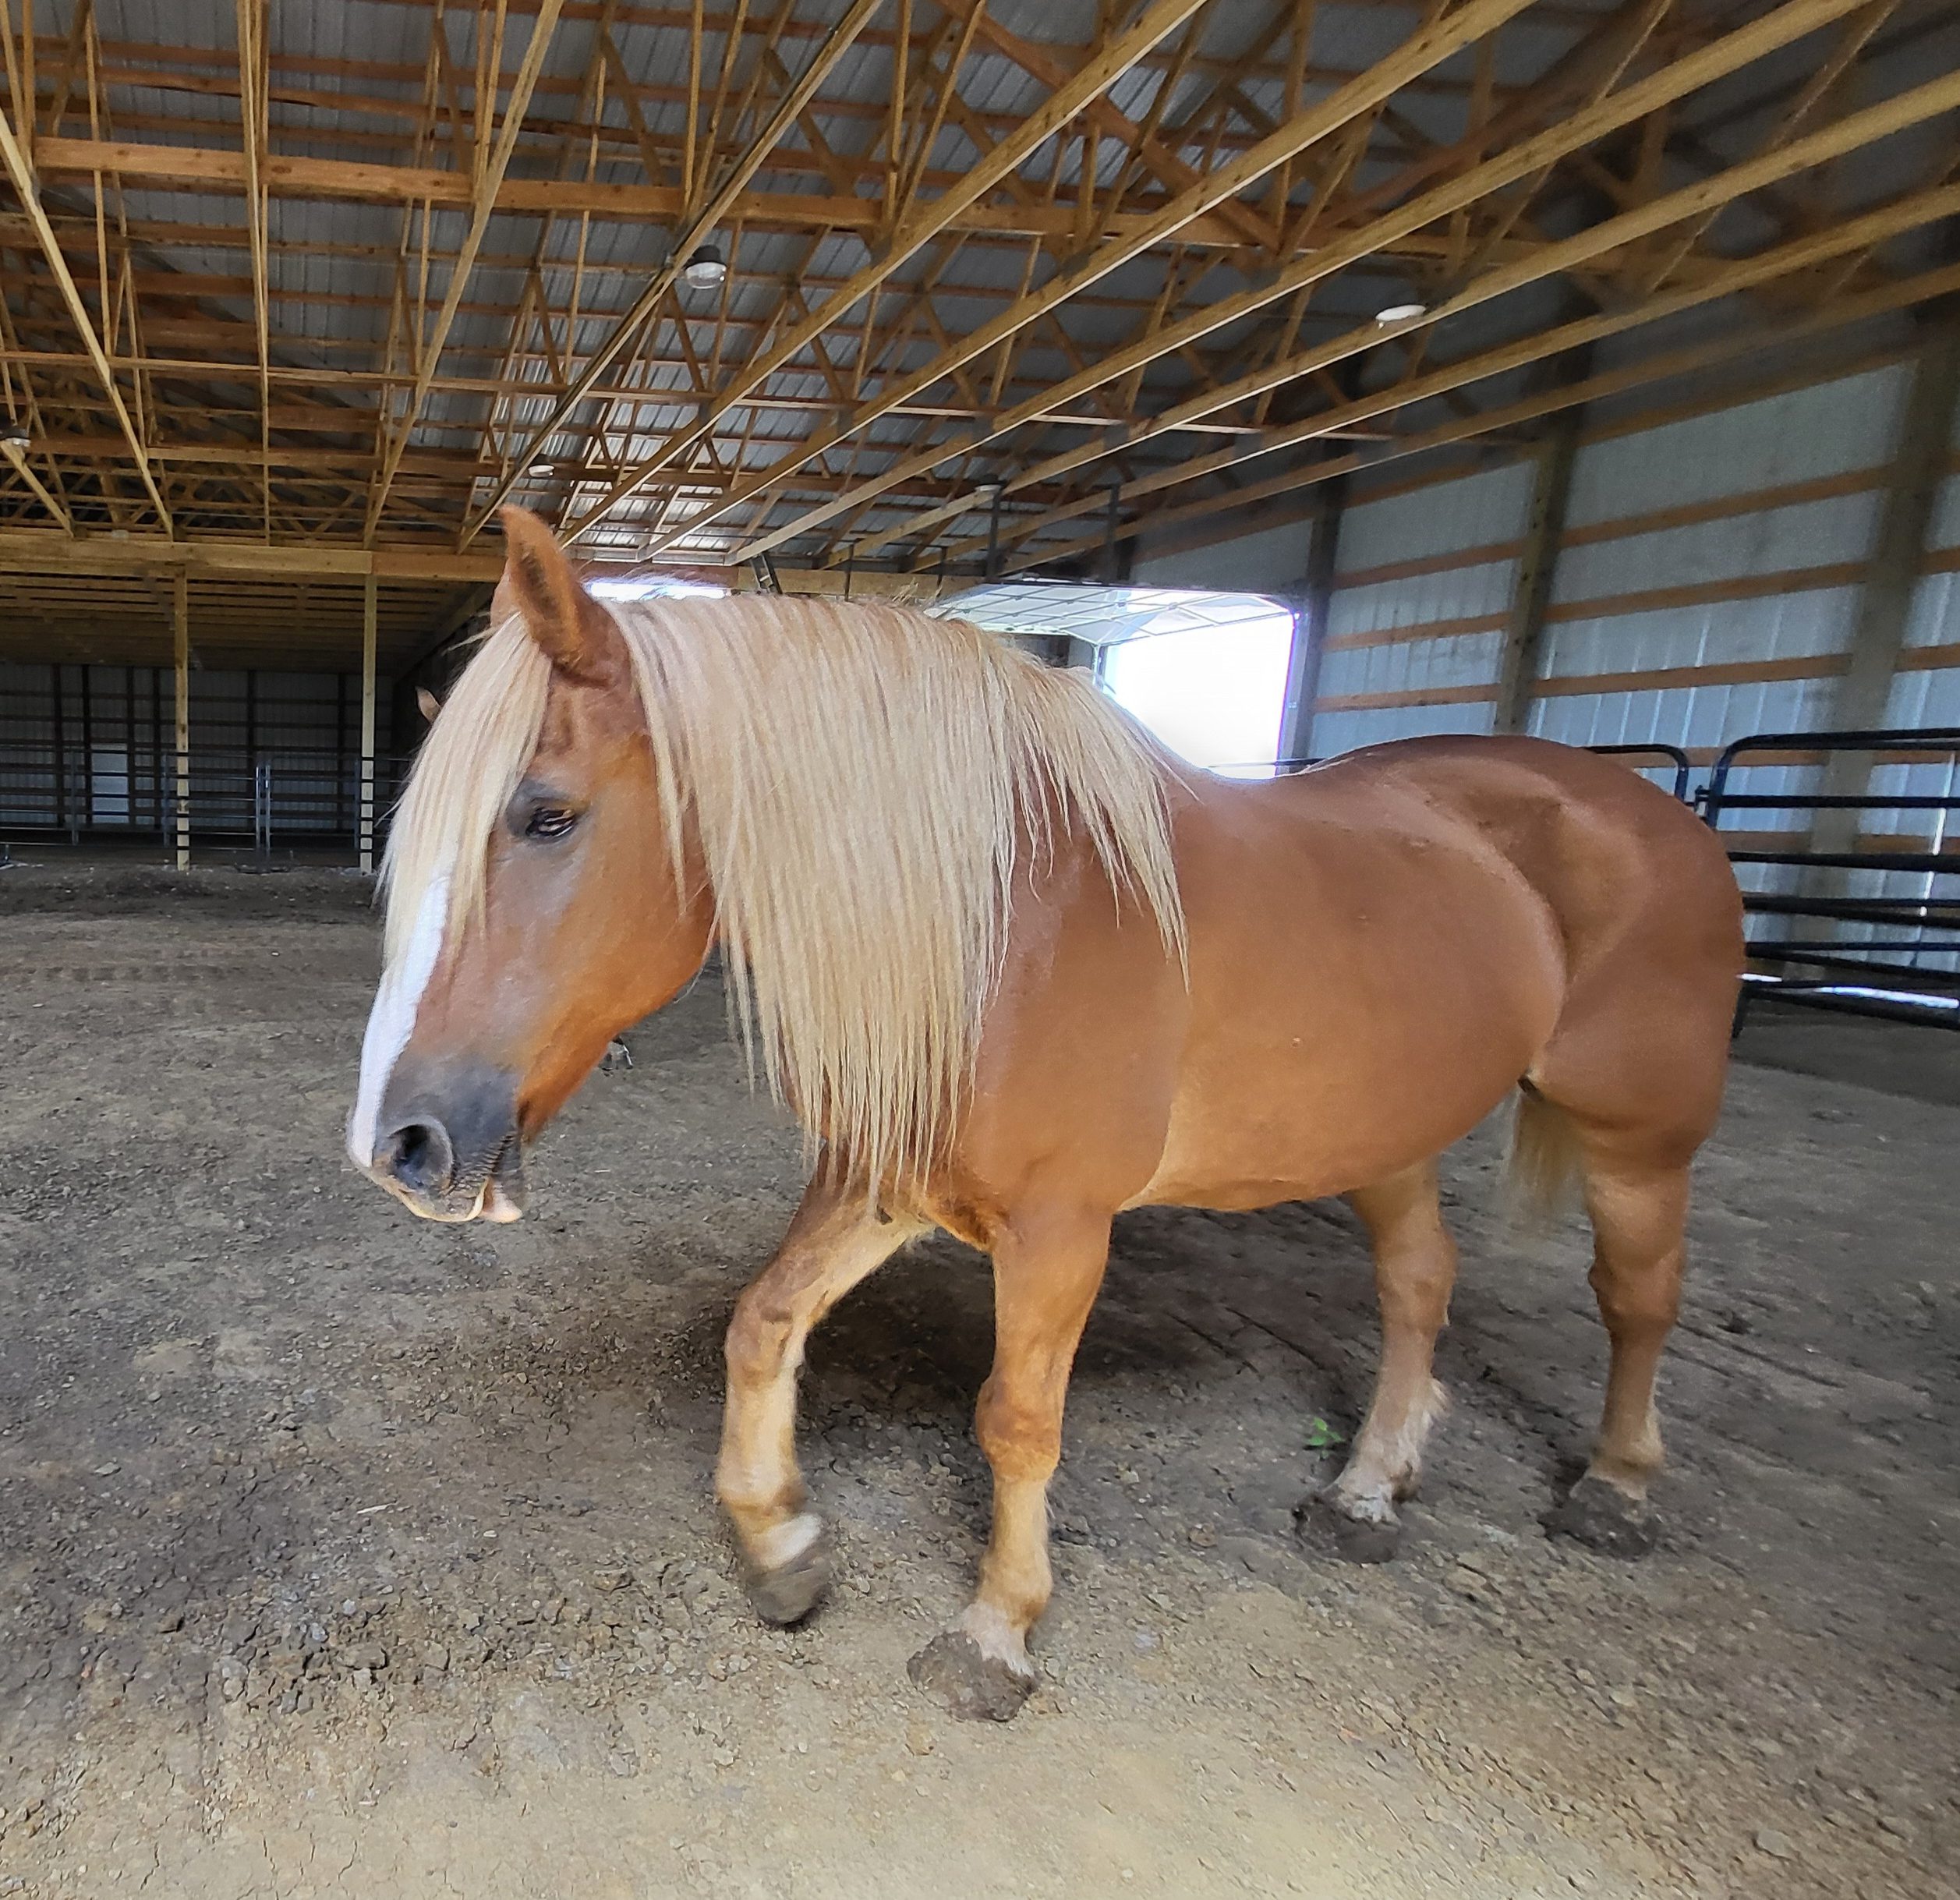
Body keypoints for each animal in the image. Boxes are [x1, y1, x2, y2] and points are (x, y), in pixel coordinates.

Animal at [348, 505, 1748, 1718]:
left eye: (546, 816)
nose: (399, 1147)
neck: (1001, 918)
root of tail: (1643, 805)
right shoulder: (883, 1182)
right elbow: (760, 1325)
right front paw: (781, 1543)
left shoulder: (1058, 1230)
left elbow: (1015, 1423)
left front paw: (995, 1634)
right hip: (1381, 1134)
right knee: (1418, 1286)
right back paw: (1364, 1491)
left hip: (1638, 1136)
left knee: (1636, 1296)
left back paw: (1615, 1489)